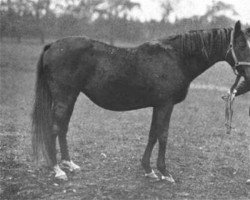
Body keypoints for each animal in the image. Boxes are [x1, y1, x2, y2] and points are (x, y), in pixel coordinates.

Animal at [31, 21, 250, 180]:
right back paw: (58, 170)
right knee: (55, 129)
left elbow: (153, 134)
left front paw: (148, 169)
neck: (176, 58)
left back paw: (69, 164)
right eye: (241, 44)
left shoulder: (158, 106)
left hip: (71, 97)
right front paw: (165, 172)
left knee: (63, 128)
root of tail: (53, 46)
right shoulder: (165, 105)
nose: (248, 75)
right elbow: (163, 135)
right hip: (64, 97)